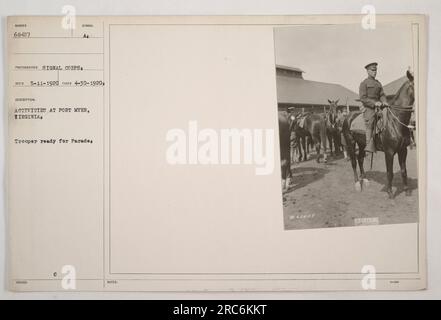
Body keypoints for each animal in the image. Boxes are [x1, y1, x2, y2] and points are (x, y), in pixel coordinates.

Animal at [342, 70, 414, 198]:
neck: (395, 121)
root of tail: (348, 116)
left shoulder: (403, 150)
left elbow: (404, 171)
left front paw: (406, 190)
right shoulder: (389, 152)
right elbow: (390, 172)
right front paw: (390, 192)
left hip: (362, 144)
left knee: (360, 159)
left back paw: (365, 180)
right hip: (351, 143)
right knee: (354, 162)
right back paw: (357, 184)